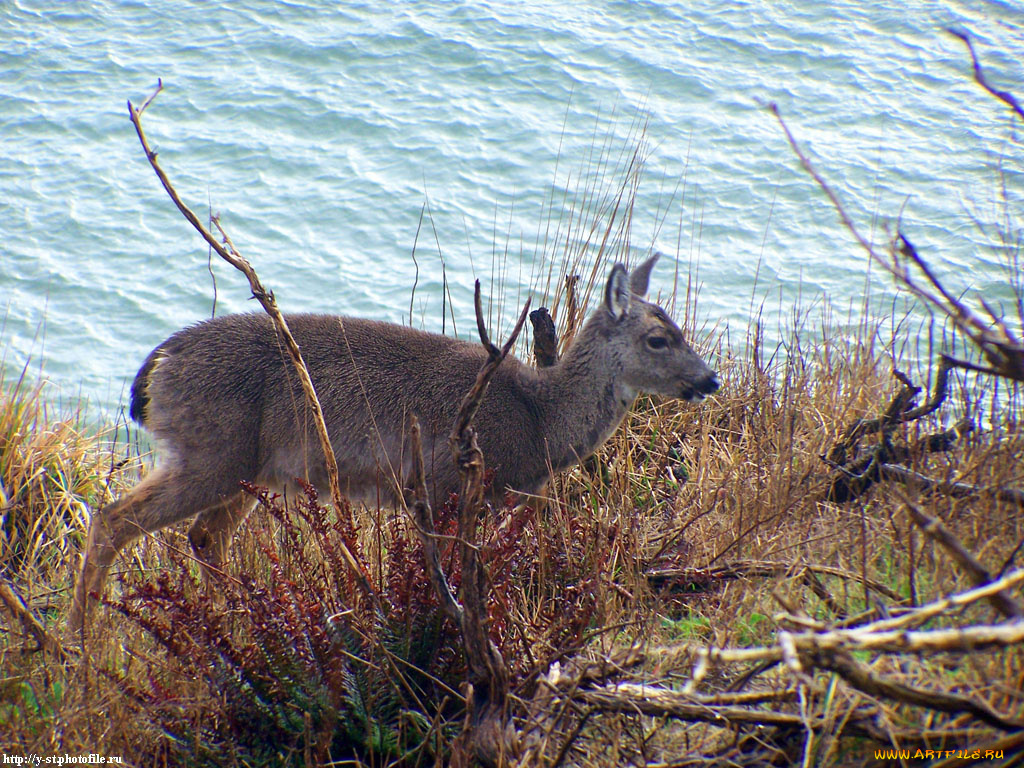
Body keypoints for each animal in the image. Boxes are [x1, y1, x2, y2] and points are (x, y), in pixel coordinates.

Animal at [68, 256, 716, 626]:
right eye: (659, 338)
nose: (709, 379)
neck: (538, 419)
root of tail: (159, 365)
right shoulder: (446, 481)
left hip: (247, 469)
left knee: (202, 537)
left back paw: (231, 626)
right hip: (213, 453)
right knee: (113, 519)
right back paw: (83, 645)